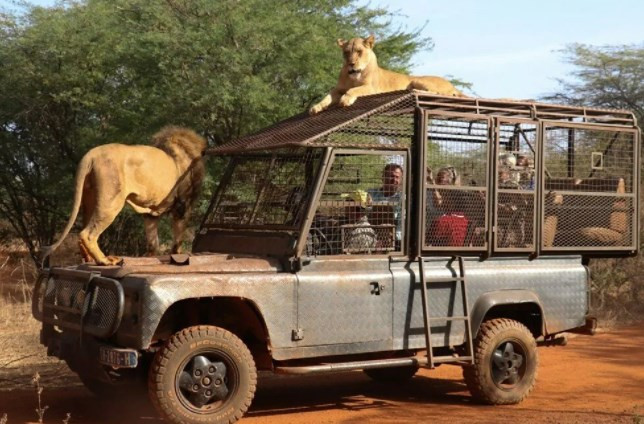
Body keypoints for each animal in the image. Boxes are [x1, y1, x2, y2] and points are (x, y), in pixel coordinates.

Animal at [42, 126, 206, 264]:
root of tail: (91, 155)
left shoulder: (150, 213)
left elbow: (153, 242)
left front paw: (150, 257)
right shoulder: (183, 205)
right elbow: (178, 238)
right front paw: (180, 255)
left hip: (89, 200)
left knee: (81, 233)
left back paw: (89, 259)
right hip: (111, 201)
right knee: (87, 234)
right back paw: (105, 261)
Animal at [310, 34, 466, 114]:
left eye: (359, 51)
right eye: (346, 53)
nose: (351, 64)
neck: (354, 76)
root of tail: (453, 86)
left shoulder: (371, 88)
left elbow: (353, 90)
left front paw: (345, 99)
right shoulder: (337, 89)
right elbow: (327, 97)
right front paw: (316, 107)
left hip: (418, 81)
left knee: (438, 94)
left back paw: (415, 90)